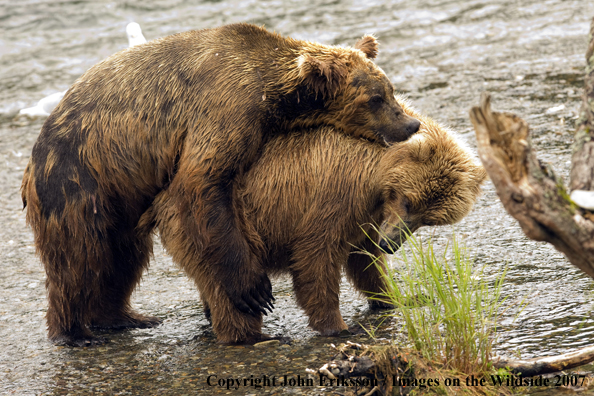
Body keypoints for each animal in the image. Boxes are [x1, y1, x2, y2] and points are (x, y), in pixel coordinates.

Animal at [20, 24, 418, 346]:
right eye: (375, 98)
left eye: (390, 89)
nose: (410, 125)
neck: (277, 95)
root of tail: (32, 160)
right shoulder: (226, 108)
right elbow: (202, 185)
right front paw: (253, 289)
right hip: (78, 181)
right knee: (80, 256)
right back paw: (74, 333)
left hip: (122, 199)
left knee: (124, 257)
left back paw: (126, 317)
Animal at [149, 98, 486, 344]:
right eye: (407, 201)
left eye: (427, 219)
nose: (391, 243)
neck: (374, 177)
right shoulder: (335, 192)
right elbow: (317, 255)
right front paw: (337, 325)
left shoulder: (366, 217)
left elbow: (365, 261)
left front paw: (397, 297)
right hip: (214, 227)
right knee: (229, 288)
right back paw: (251, 336)